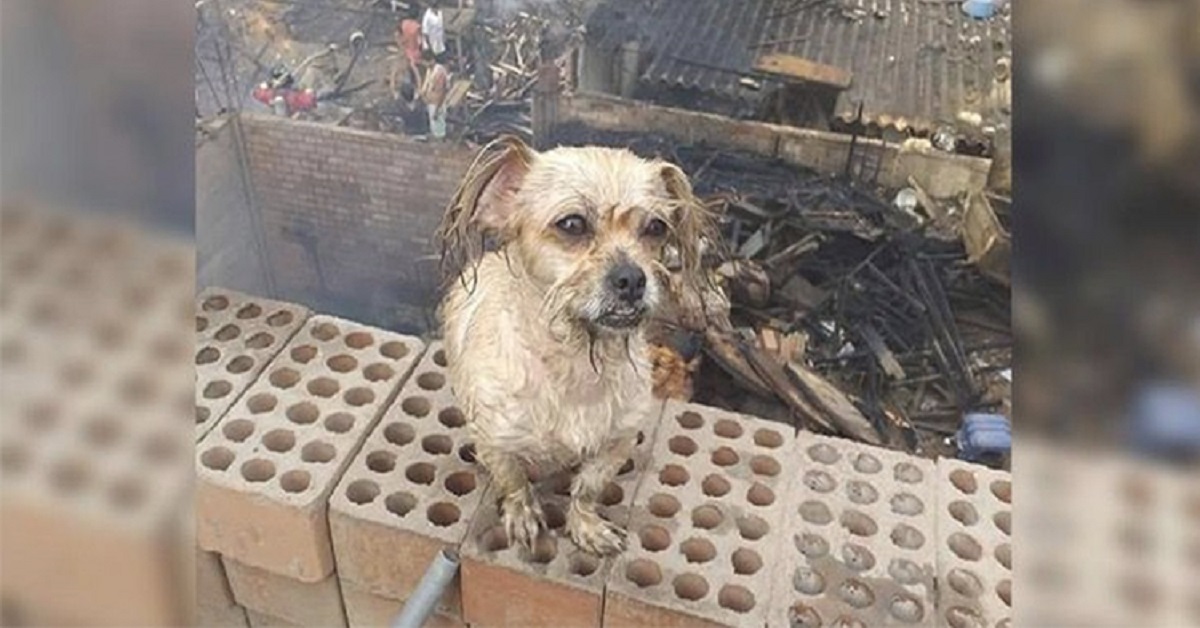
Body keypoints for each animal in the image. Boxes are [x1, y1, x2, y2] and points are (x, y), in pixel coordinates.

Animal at [434, 137, 710, 554]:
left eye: (656, 227)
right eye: (572, 224)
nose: (633, 278)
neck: (575, 362)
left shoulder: (617, 441)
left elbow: (588, 487)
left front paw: (586, 526)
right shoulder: (495, 440)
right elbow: (513, 481)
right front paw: (522, 515)